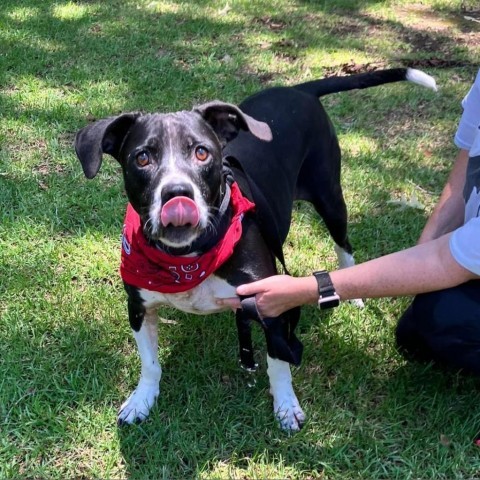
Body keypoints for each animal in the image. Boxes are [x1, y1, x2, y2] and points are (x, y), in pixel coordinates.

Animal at [74, 67, 436, 432]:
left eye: (202, 152)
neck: (188, 259)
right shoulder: (138, 307)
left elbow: (279, 362)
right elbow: (149, 362)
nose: (177, 193)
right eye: (142, 158)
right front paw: (142, 400)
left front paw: (286, 406)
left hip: (330, 197)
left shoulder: (272, 306)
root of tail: (300, 90)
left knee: (343, 244)